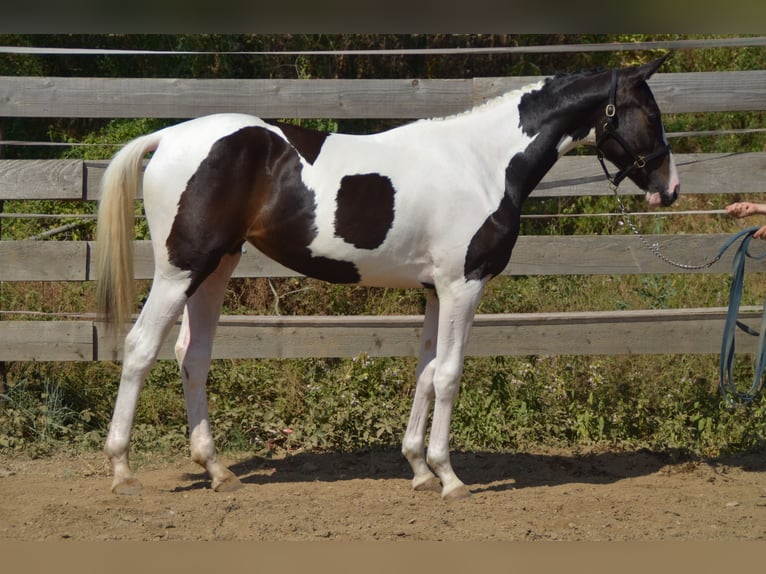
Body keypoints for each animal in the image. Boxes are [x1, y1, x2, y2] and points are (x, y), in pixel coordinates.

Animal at [96, 55, 680, 499]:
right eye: (649, 113)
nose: (669, 188)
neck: (483, 163)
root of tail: (168, 138)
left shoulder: (435, 292)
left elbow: (426, 372)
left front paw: (419, 469)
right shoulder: (463, 286)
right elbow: (449, 376)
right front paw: (449, 478)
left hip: (217, 268)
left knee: (192, 356)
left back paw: (217, 470)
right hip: (181, 269)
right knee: (141, 347)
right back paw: (122, 470)